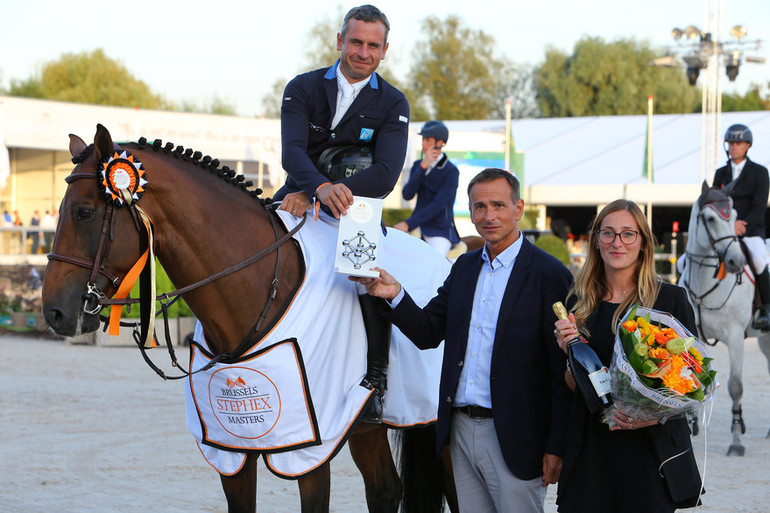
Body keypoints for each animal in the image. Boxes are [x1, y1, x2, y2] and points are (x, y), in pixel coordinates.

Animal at [42, 124, 452, 512]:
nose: (54, 312)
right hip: (366, 432)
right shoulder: (232, 451)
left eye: (84, 212)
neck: (259, 288)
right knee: (385, 491)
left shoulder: (308, 453)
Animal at [680, 182, 768, 454]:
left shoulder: (736, 338)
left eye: (735, 216)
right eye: (710, 218)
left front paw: (736, 440)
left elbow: (735, 386)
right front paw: (691, 424)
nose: (736, 262)